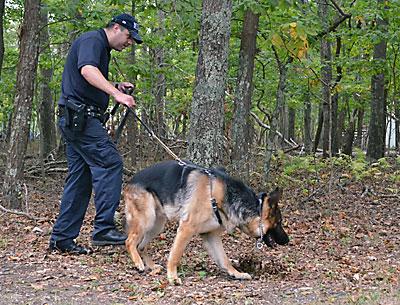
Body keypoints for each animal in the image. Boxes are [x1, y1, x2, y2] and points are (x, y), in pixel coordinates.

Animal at [123, 159, 290, 282]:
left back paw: (151, 266)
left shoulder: (211, 235)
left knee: (141, 246)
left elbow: (224, 259)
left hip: (157, 225)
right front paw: (172, 276)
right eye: (279, 222)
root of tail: (130, 181)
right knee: (130, 241)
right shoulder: (186, 229)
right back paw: (138, 263)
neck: (223, 196)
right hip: (147, 220)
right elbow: (175, 255)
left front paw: (236, 273)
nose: (288, 240)